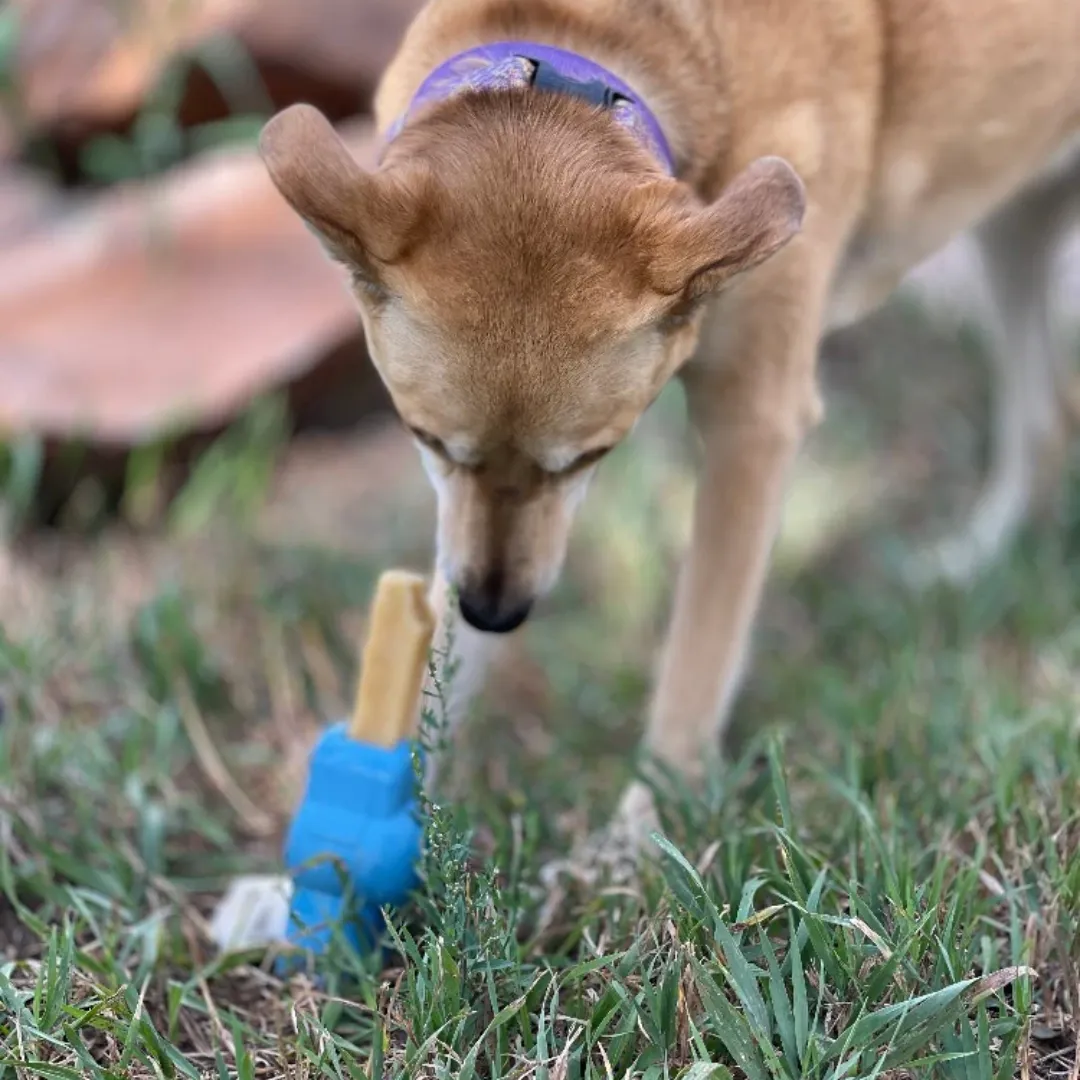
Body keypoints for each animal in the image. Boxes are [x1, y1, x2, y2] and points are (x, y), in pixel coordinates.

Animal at [254, 0, 1080, 859]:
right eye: (426, 440)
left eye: (593, 454)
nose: (499, 612)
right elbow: (445, 648)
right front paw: (395, 805)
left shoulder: (755, 422)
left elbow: (695, 663)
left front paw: (636, 843)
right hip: (1012, 221)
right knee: (1049, 412)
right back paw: (976, 560)